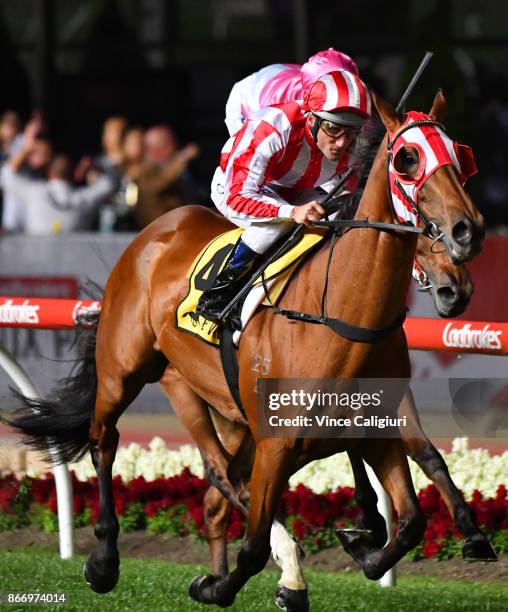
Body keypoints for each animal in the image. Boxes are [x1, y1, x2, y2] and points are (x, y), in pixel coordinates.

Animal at [3, 92, 484, 612]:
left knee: (221, 476)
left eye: (461, 155)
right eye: (407, 159)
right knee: (108, 442)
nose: (467, 231)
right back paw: (104, 560)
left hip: (222, 407)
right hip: (125, 372)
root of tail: (157, 228)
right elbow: (252, 547)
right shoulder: (277, 443)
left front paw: (367, 545)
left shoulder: (374, 426)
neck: (341, 317)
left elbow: (413, 515)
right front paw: (224, 585)